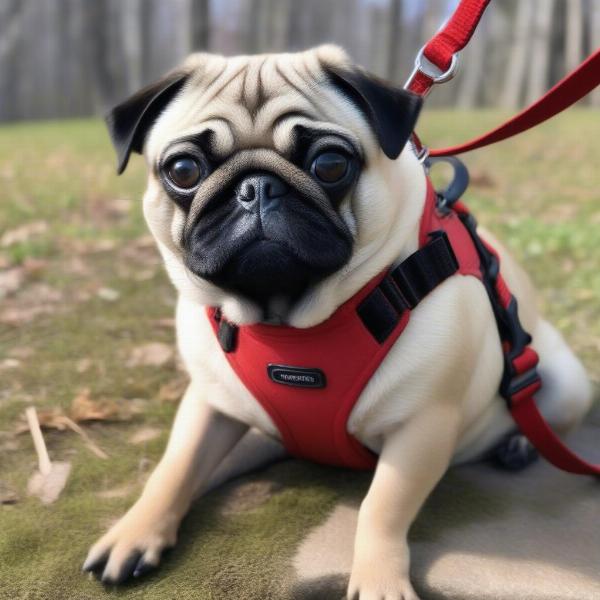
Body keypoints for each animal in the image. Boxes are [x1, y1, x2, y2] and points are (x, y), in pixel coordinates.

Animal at [82, 48, 592, 600]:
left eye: (329, 164)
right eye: (182, 170)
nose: (255, 187)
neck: (288, 321)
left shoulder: (421, 429)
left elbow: (381, 508)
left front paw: (378, 579)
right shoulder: (210, 403)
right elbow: (174, 469)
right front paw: (134, 532)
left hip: (565, 383)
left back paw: (519, 442)